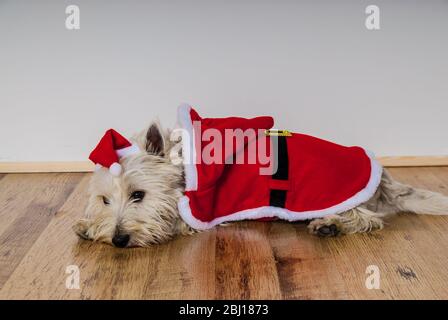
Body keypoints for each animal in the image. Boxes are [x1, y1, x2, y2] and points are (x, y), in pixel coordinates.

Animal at [73, 105, 448, 248]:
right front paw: (89, 225)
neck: (182, 170)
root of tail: (382, 178)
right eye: (105, 200)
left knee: (368, 218)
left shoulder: (200, 212)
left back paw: (330, 225)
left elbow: (174, 223)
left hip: (332, 193)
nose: (119, 240)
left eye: (139, 195)